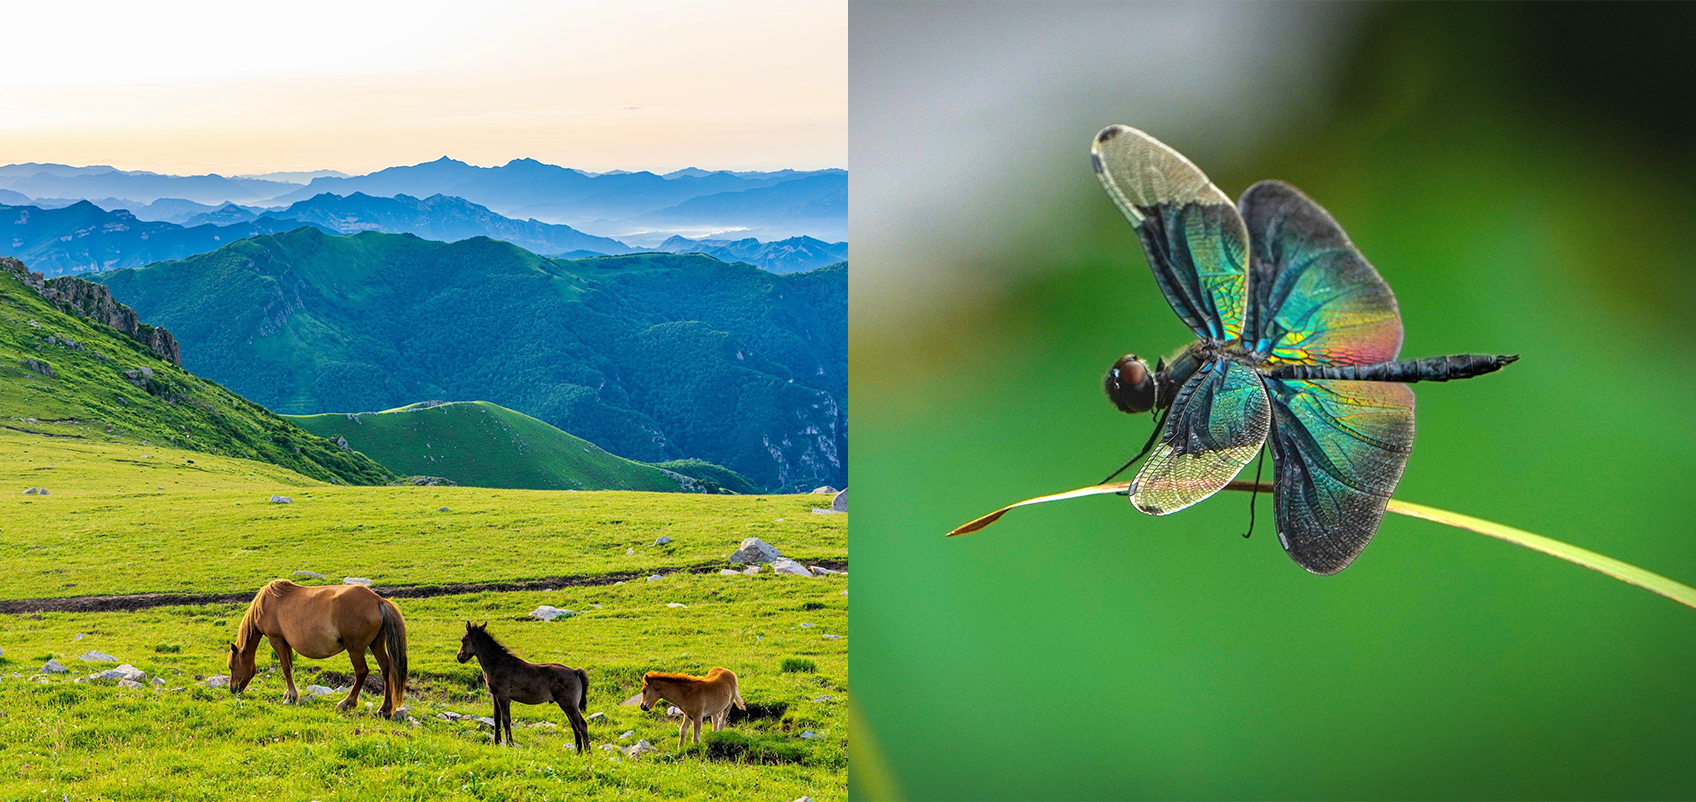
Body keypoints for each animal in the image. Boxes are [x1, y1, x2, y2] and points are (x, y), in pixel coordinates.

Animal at [227, 579, 408, 719]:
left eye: (231, 666)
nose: (233, 690)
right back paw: (385, 709)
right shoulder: (286, 643)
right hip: (376, 644)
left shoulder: (276, 639)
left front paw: (291, 698)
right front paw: (289, 694)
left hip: (355, 649)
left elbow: (285, 668)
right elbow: (290, 667)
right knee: (386, 670)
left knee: (362, 672)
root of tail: (378, 600)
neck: (266, 603)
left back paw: (346, 703)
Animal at [456, 621, 591, 751]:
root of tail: (575, 672)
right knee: (574, 726)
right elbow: (496, 717)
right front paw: (496, 742)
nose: (459, 657)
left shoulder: (503, 696)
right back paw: (578, 752)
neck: (496, 663)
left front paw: (510, 744)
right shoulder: (494, 695)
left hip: (569, 705)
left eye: (463, 639)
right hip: (566, 705)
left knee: (582, 725)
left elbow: (506, 719)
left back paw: (588, 752)